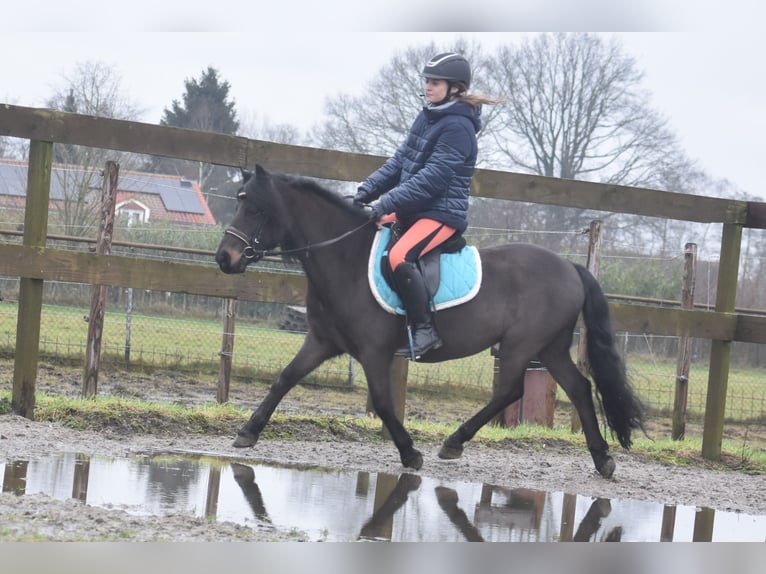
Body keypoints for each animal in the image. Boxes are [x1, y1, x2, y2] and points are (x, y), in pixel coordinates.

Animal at [216, 164, 648, 480]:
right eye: (238, 204)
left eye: (255, 208)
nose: (224, 258)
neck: (345, 259)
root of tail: (571, 267)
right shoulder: (322, 342)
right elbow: (284, 379)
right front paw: (248, 432)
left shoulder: (374, 352)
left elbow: (384, 403)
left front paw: (410, 453)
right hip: (551, 347)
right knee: (579, 387)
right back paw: (602, 459)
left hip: (521, 345)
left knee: (510, 391)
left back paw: (454, 442)